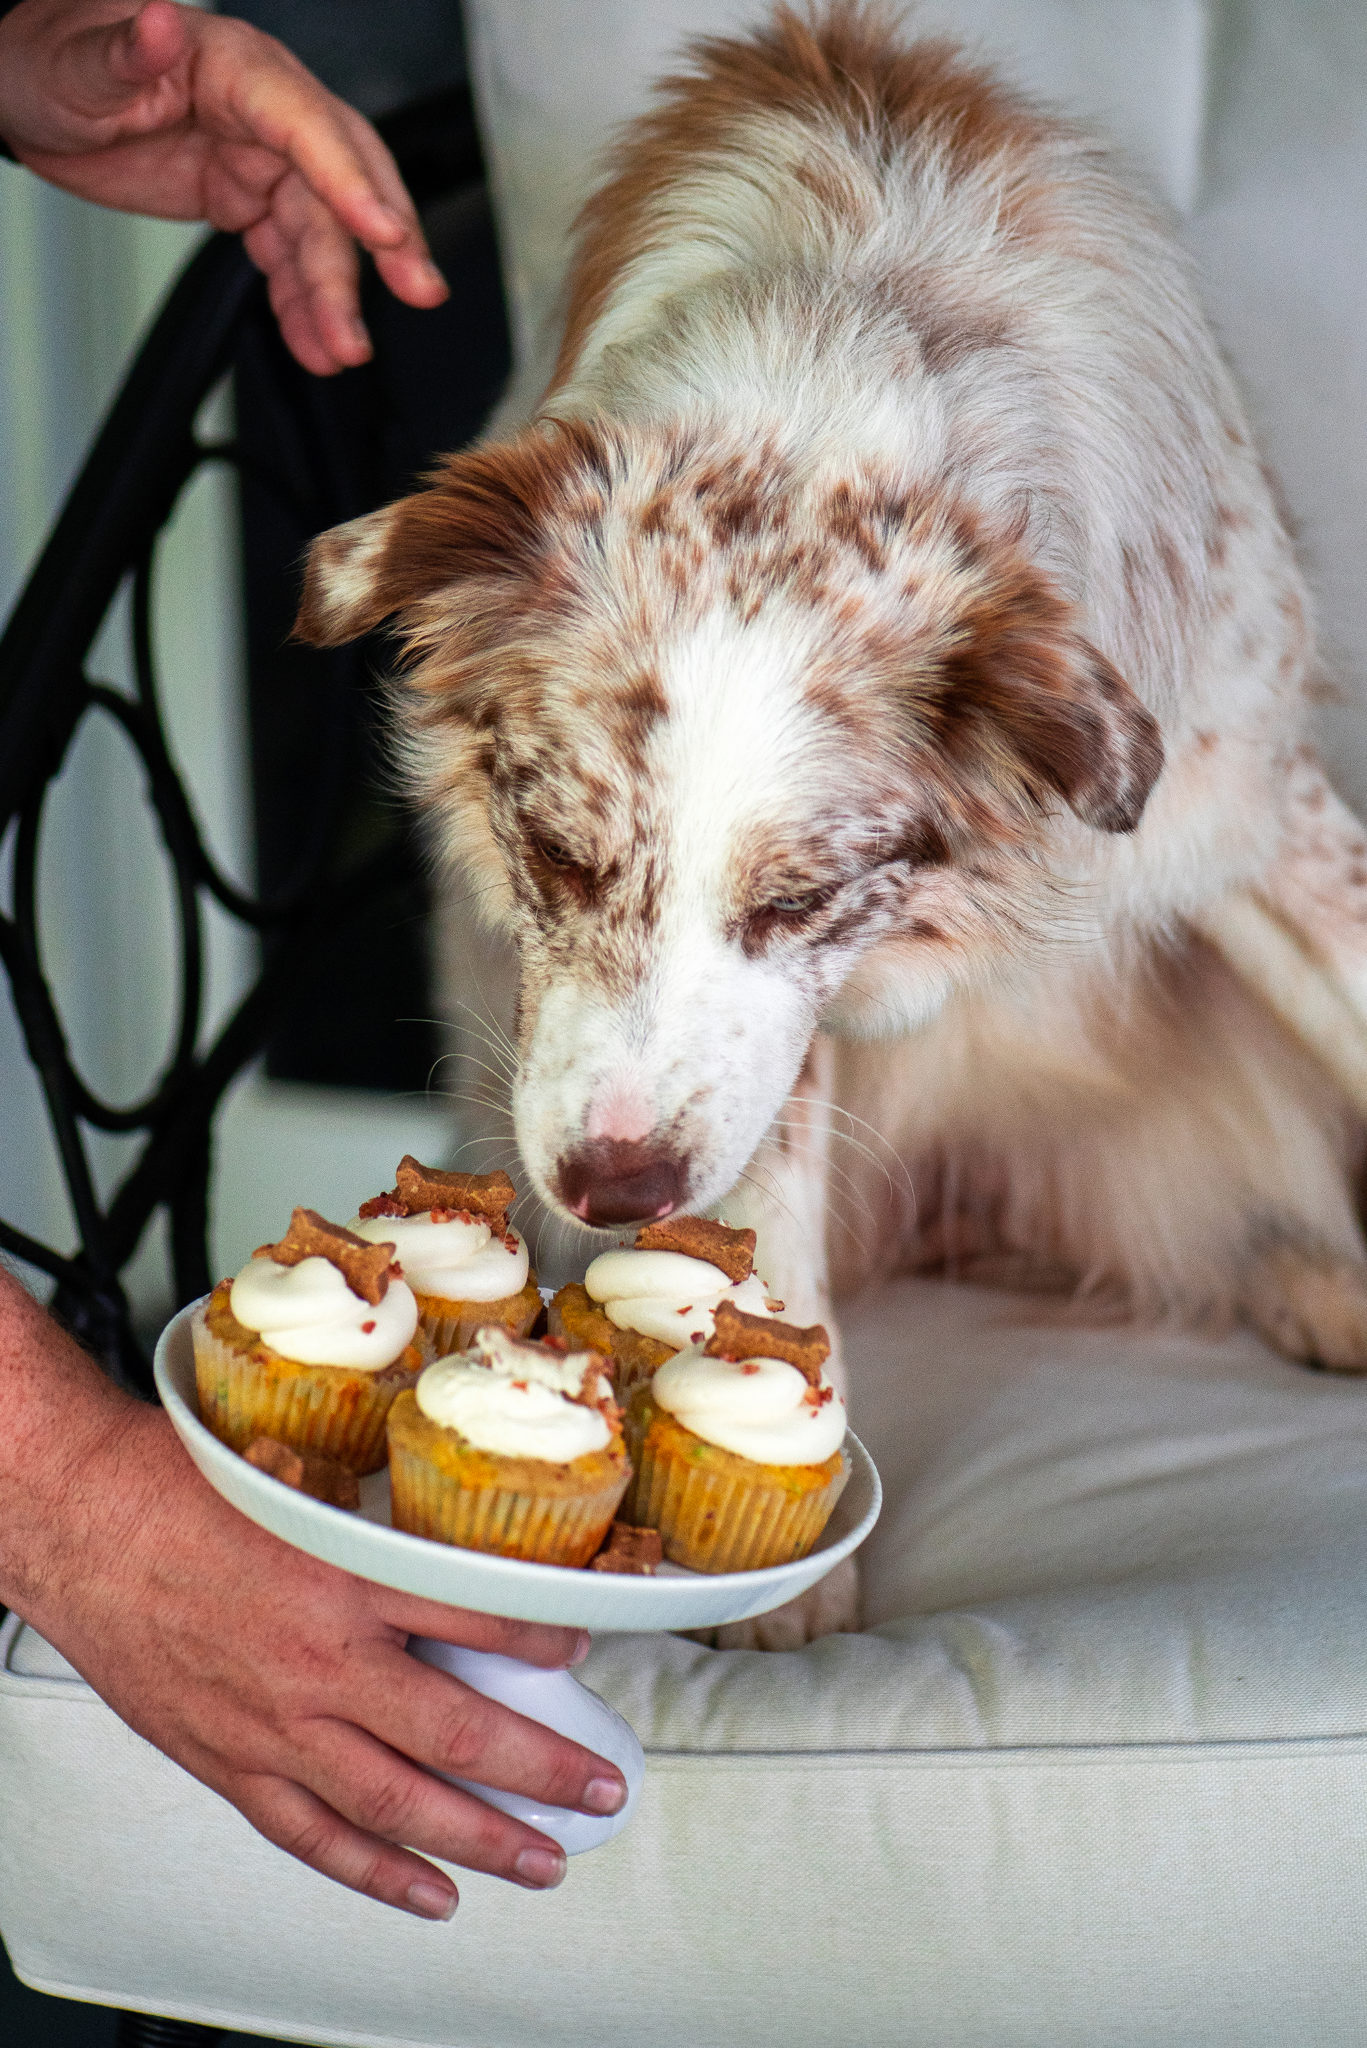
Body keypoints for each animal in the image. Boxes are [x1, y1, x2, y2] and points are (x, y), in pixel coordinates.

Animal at [297, 4, 1367, 1646]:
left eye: (795, 901)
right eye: (555, 857)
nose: (610, 1191)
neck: (830, 386)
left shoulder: (1243, 804)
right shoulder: (759, 1063)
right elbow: (768, 1232)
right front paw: (785, 1587)